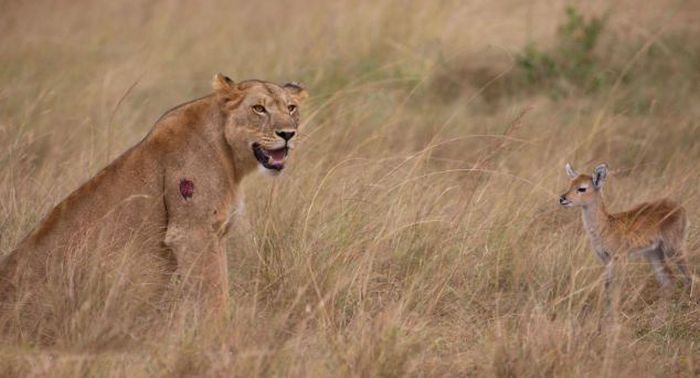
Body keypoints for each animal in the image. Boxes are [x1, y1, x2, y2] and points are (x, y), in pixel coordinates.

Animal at [560, 162, 692, 302]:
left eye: (582, 188)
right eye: (570, 184)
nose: (562, 198)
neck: (606, 226)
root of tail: (681, 208)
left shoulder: (620, 258)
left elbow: (616, 289)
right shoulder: (605, 259)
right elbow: (608, 287)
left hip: (674, 248)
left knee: (689, 276)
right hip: (654, 253)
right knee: (669, 279)